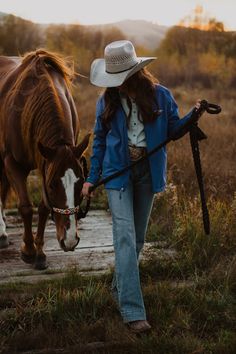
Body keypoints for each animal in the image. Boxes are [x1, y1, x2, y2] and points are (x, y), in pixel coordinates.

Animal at [0, 49, 90, 268]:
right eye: (52, 185)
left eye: (81, 182)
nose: (70, 240)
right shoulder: (13, 163)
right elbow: (25, 207)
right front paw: (28, 250)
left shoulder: (45, 163)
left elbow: (43, 208)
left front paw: (40, 253)